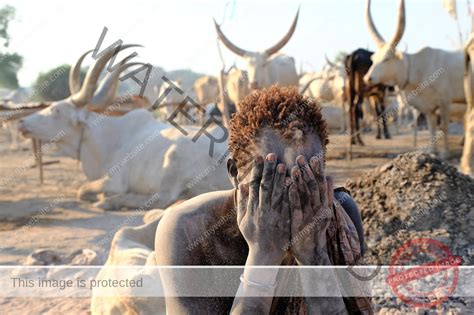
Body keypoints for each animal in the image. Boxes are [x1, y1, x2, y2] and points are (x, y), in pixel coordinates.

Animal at [17, 45, 232, 211]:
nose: (22, 123)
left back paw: (108, 202)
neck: (108, 138)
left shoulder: (112, 182)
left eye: (57, 110)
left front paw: (102, 198)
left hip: (173, 159)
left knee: (162, 199)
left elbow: (82, 190)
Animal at [364, 0, 464, 158]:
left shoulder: (445, 102)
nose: (367, 78)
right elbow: (432, 128)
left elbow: (444, 128)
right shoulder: (429, 108)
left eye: (387, 58)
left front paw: (445, 153)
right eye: (373, 59)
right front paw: (433, 151)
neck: (417, 68)